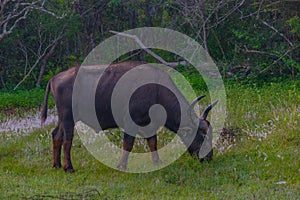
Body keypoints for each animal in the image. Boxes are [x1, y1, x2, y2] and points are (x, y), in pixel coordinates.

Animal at [41, 60, 217, 173]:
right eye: (202, 136)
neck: (157, 92)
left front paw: (157, 162)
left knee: (56, 135)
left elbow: (153, 142)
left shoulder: (149, 125)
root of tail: (54, 78)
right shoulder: (131, 122)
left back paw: (56, 165)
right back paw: (68, 167)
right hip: (68, 117)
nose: (208, 157)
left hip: (62, 118)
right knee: (67, 140)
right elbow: (128, 144)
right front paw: (121, 166)